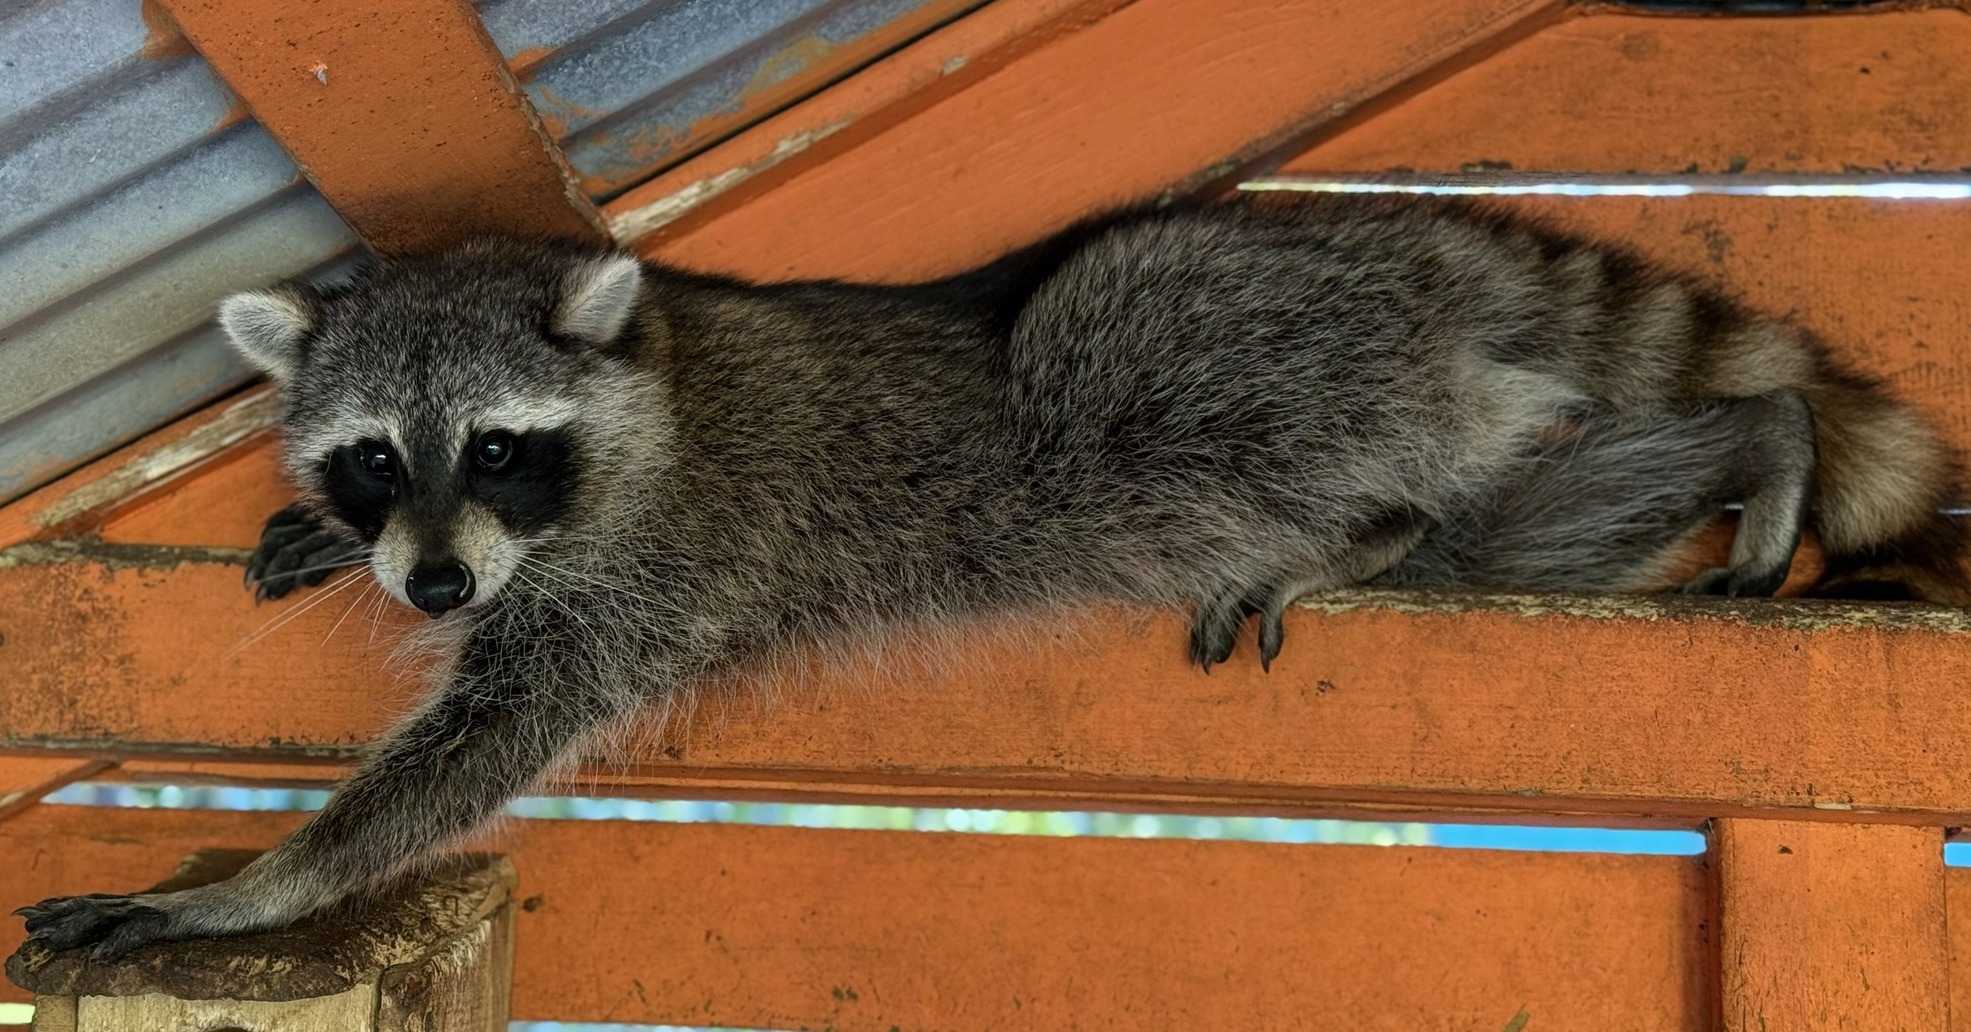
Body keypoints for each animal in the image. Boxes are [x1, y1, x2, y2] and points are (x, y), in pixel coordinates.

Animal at [19, 194, 1965, 957]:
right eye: (374, 457)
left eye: (494, 447)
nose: (426, 586)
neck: (646, 382)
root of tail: (1377, 239)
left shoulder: (654, 565)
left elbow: (475, 748)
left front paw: (249, 886)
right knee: (1523, 511)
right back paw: (1754, 441)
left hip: (1208, 343)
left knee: (1146, 383)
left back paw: (1370, 523)